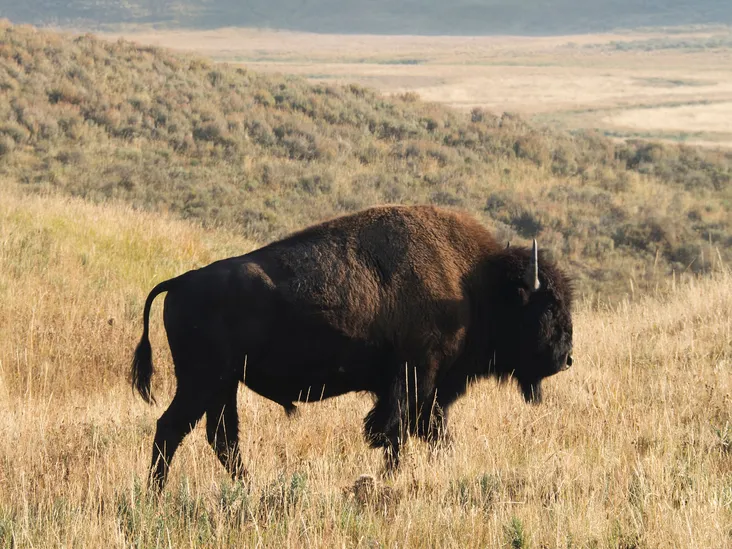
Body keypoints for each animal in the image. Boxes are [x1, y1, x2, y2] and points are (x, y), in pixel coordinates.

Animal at [131, 204, 574, 491]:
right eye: (548, 305)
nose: (567, 358)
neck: (472, 284)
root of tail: (180, 281)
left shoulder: (421, 387)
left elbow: (426, 432)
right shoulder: (415, 378)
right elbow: (398, 432)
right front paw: (394, 476)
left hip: (224, 385)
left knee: (222, 437)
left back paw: (247, 488)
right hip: (202, 381)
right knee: (172, 429)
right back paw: (156, 495)